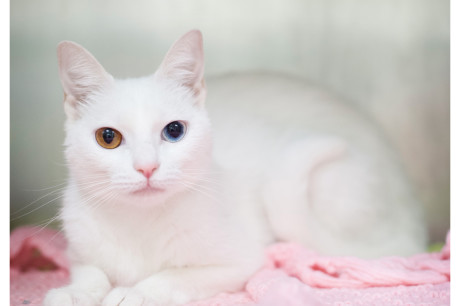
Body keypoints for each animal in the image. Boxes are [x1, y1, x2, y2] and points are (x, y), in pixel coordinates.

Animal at [44, 30, 428, 306]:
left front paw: (136, 292)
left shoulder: (239, 262)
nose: (147, 167)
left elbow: (175, 277)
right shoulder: (77, 253)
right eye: (108, 137)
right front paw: (73, 293)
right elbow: (90, 273)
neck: (141, 226)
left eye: (174, 130)